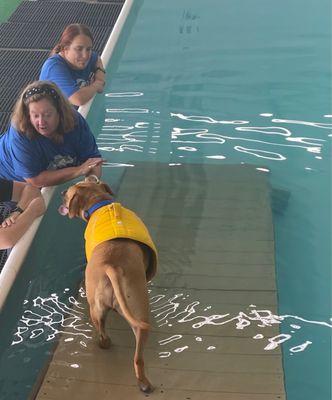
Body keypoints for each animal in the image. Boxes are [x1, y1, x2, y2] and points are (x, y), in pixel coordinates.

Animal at [59, 176, 158, 394]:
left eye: (67, 194)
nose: (61, 194)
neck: (100, 203)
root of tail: (112, 266)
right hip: (136, 309)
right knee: (138, 354)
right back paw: (144, 383)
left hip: (96, 309)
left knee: (104, 335)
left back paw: (105, 344)